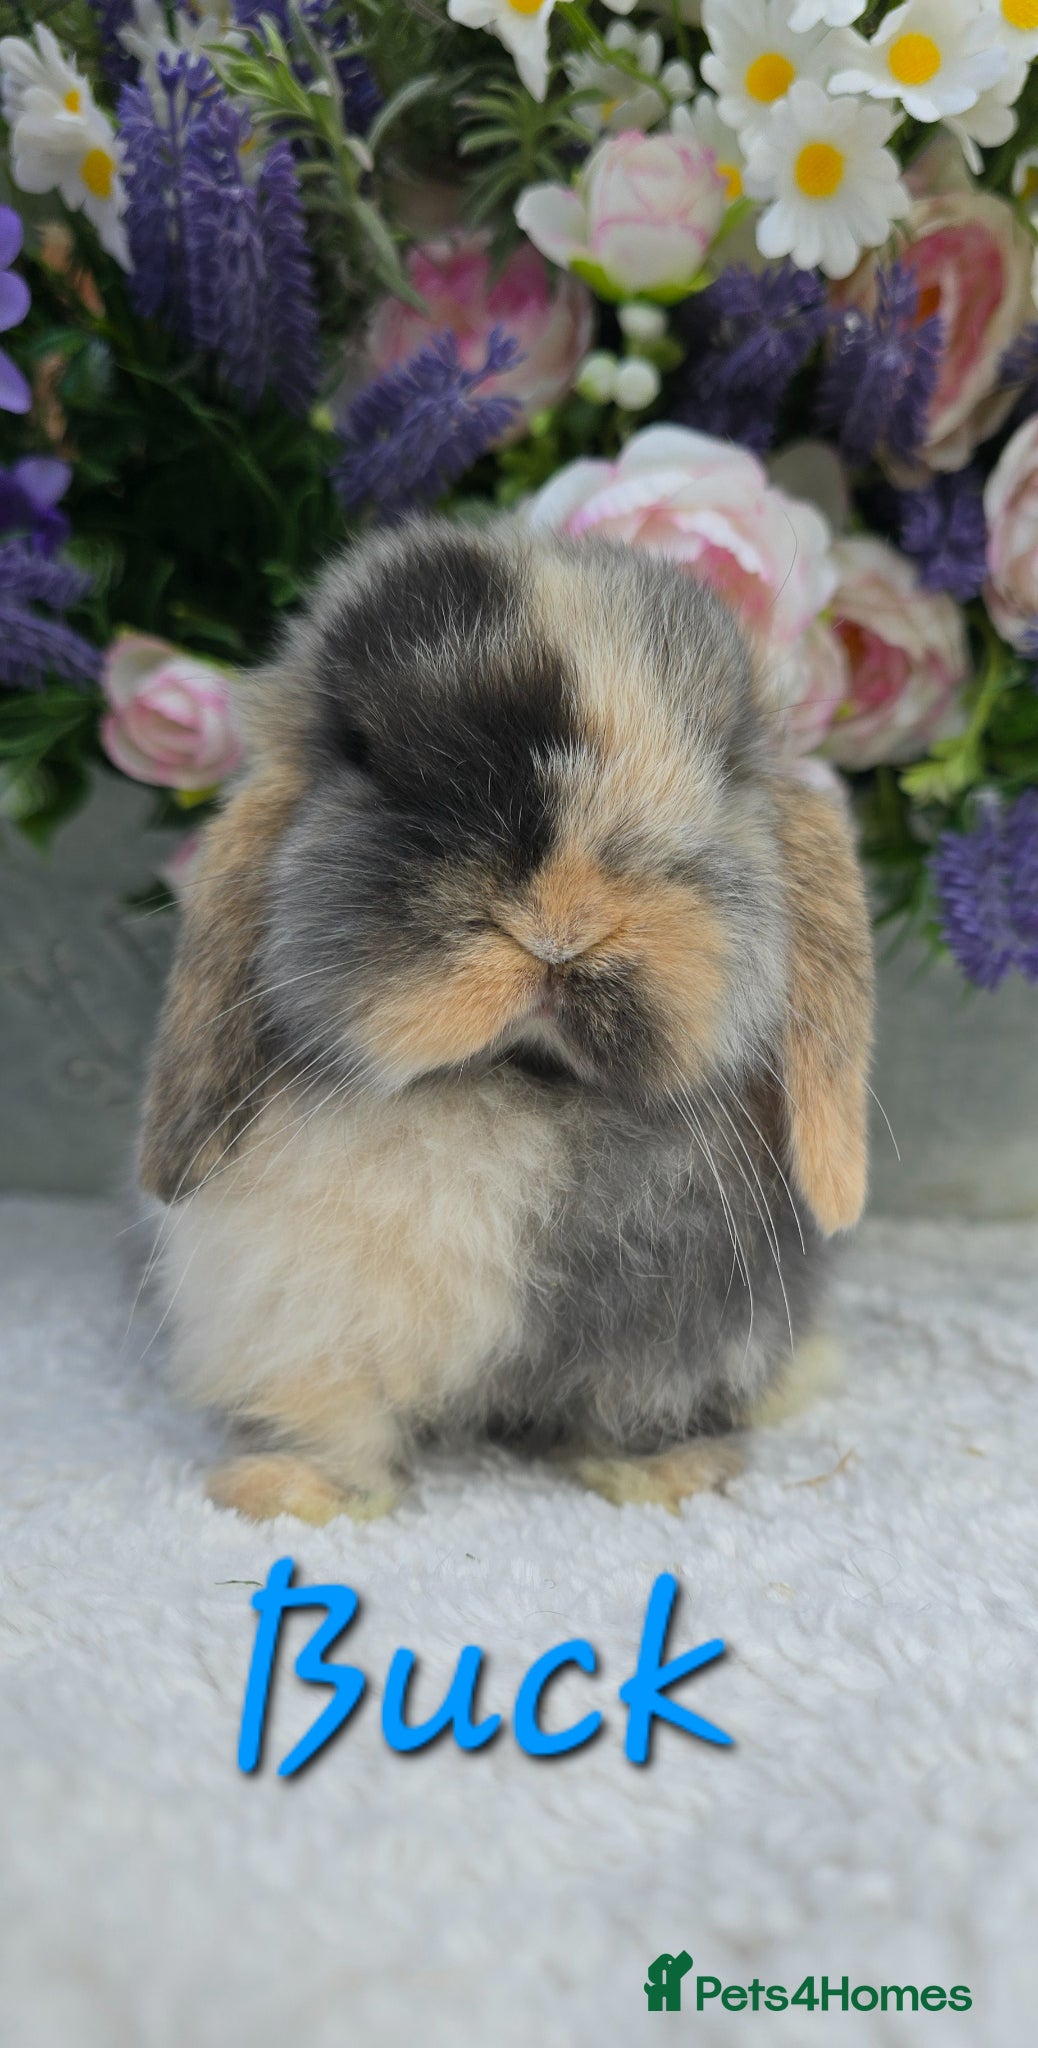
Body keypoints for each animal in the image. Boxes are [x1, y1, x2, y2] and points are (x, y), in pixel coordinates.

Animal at [137, 518, 873, 1524]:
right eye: (366, 755)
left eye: (726, 765)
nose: (562, 925)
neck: (517, 1085)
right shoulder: (298, 1316)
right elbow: (328, 1410)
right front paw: (290, 1491)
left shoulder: (683, 1335)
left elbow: (646, 1405)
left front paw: (667, 1476)